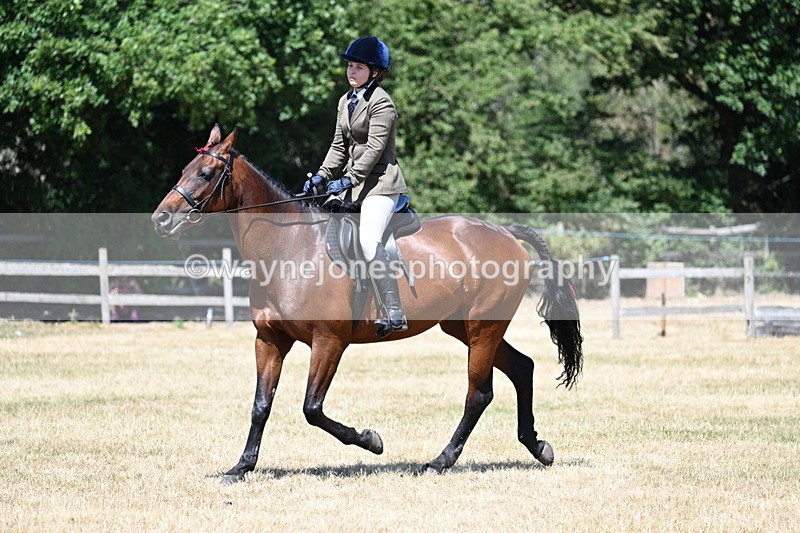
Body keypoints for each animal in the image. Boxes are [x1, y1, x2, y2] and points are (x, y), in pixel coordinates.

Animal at [152, 124, 583, 483]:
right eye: (186, 168)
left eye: (206, 174)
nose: (160, 220)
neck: (289, 247)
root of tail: (505, 233)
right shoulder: (270, 340)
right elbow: (261, 404)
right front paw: (241, 467)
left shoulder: (329, 342)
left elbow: (312, 408)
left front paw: (371, 440)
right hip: (462, 327)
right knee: (521, 368)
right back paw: (537, 447)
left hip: (482, 329)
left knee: (478, 394)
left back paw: (440, 461)